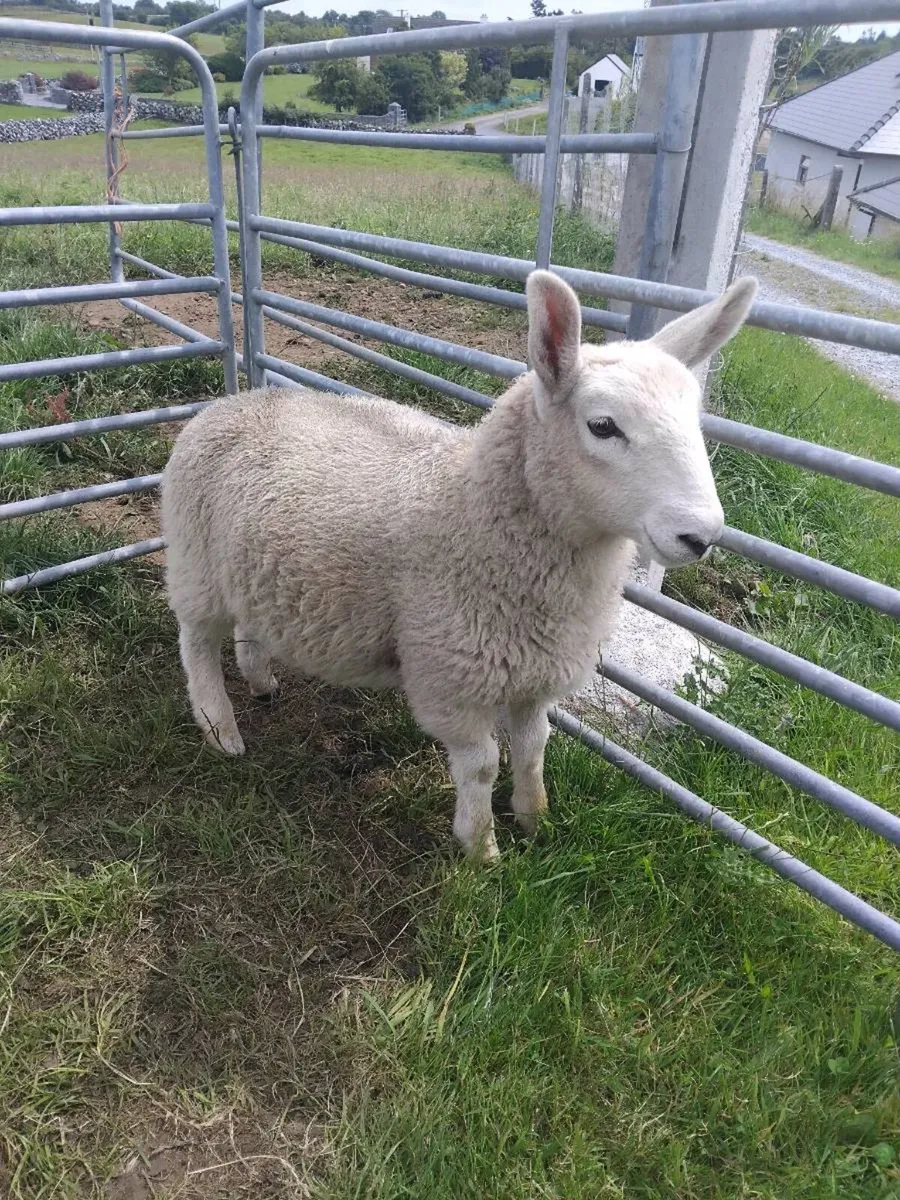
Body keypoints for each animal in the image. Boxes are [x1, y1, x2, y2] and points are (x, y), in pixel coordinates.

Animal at [161, 270, 757, 861]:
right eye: (603, 426)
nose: (701, 535)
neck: (471, 512)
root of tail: (236, 400)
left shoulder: (536, 673)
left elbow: (533, 749)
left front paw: (535, 820)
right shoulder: (449, 678)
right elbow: (481, 766)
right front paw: (481, 850)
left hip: (249, 569)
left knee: (247, 624)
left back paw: (261, 680)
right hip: (195, 564)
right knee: (196, 643)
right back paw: (220, 729)